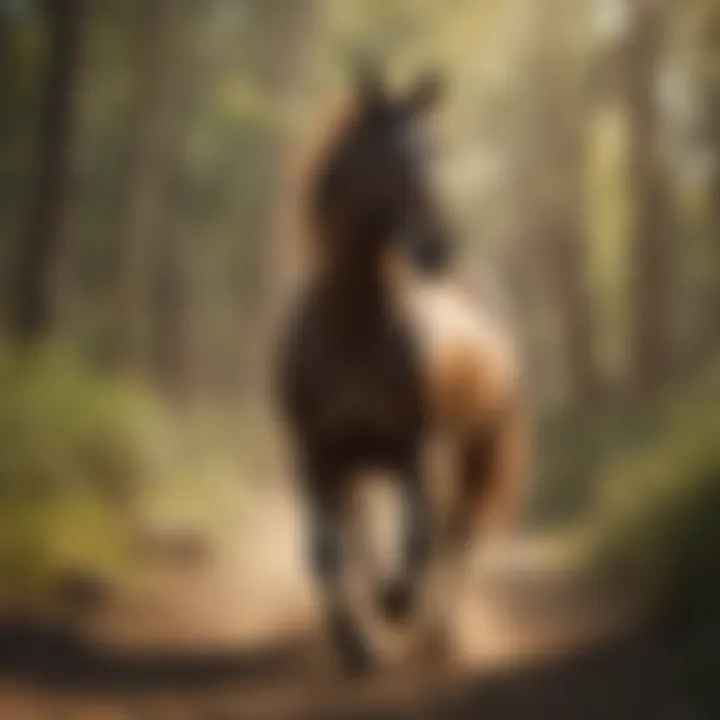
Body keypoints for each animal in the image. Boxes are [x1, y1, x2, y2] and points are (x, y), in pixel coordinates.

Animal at [275, 67, 527, 674]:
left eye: (435, 151)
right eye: (385, 158)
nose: (436, 246)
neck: (352, 330)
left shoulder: (413, 449)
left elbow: (418, 542)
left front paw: (396, 609)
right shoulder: (316, 453)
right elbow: (327, 554)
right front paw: (357, 645)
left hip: (477, 445)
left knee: (457, 532)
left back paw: (439, 632)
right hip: (358, 463)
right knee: (376, 533)